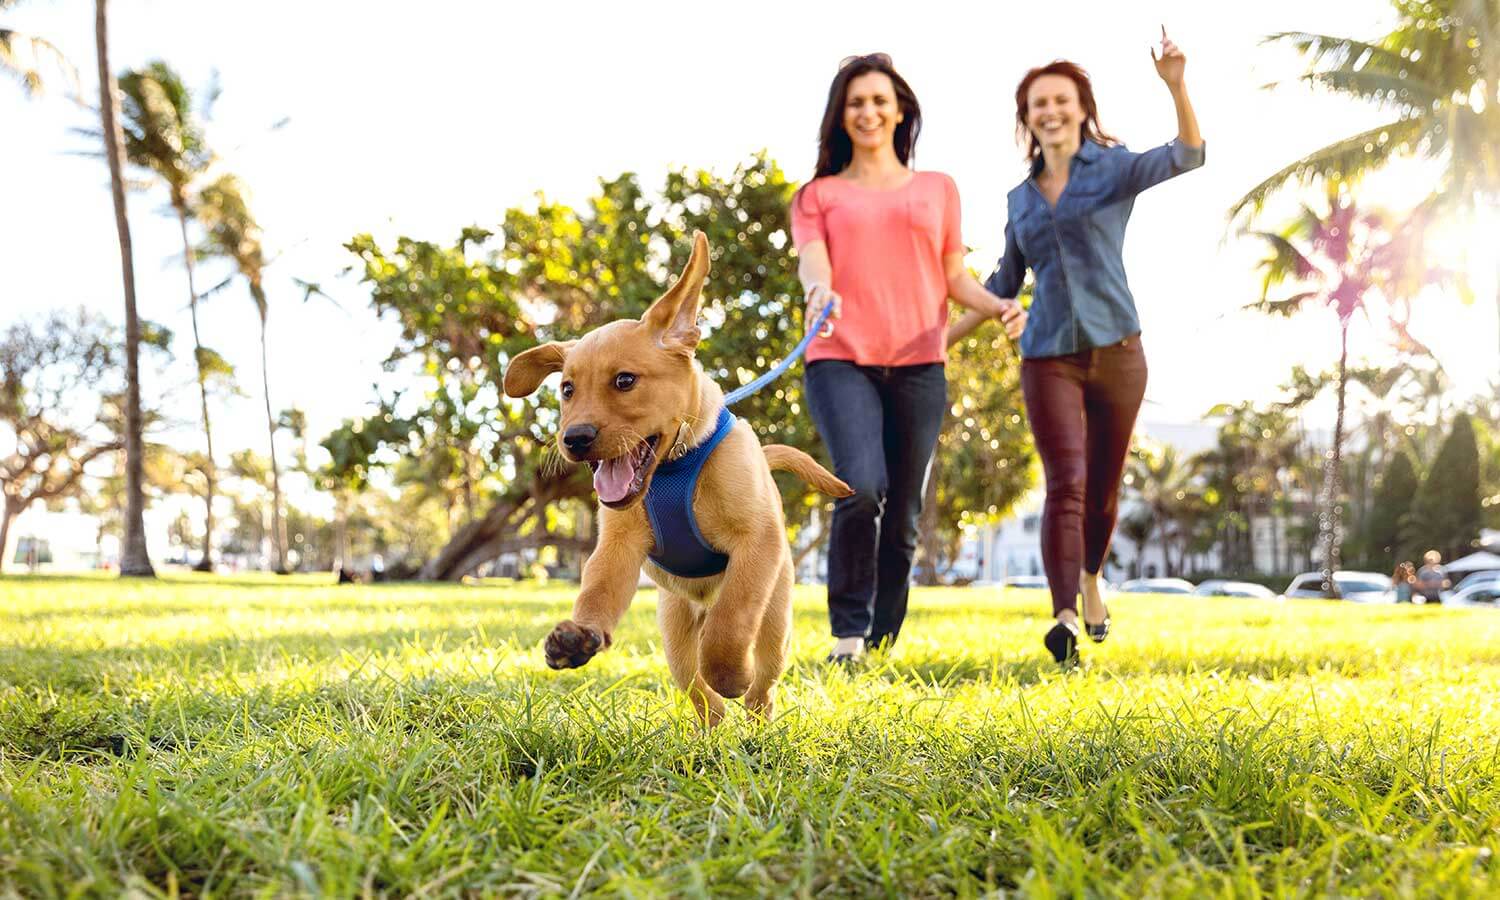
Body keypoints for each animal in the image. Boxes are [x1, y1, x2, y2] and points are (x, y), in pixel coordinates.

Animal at [504, 231, 852, 723]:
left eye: (624, 380)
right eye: (567, 389)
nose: (574, 439)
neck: (674, 465)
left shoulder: (757, 543)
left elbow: (732, 617)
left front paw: (730, 672)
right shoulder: (617, 546)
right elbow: (597, 591)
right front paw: (579, 634)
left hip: (776, 623)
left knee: (761, 681)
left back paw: (756, 714)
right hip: (674, 630)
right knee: (699, 690)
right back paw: (712, 727)